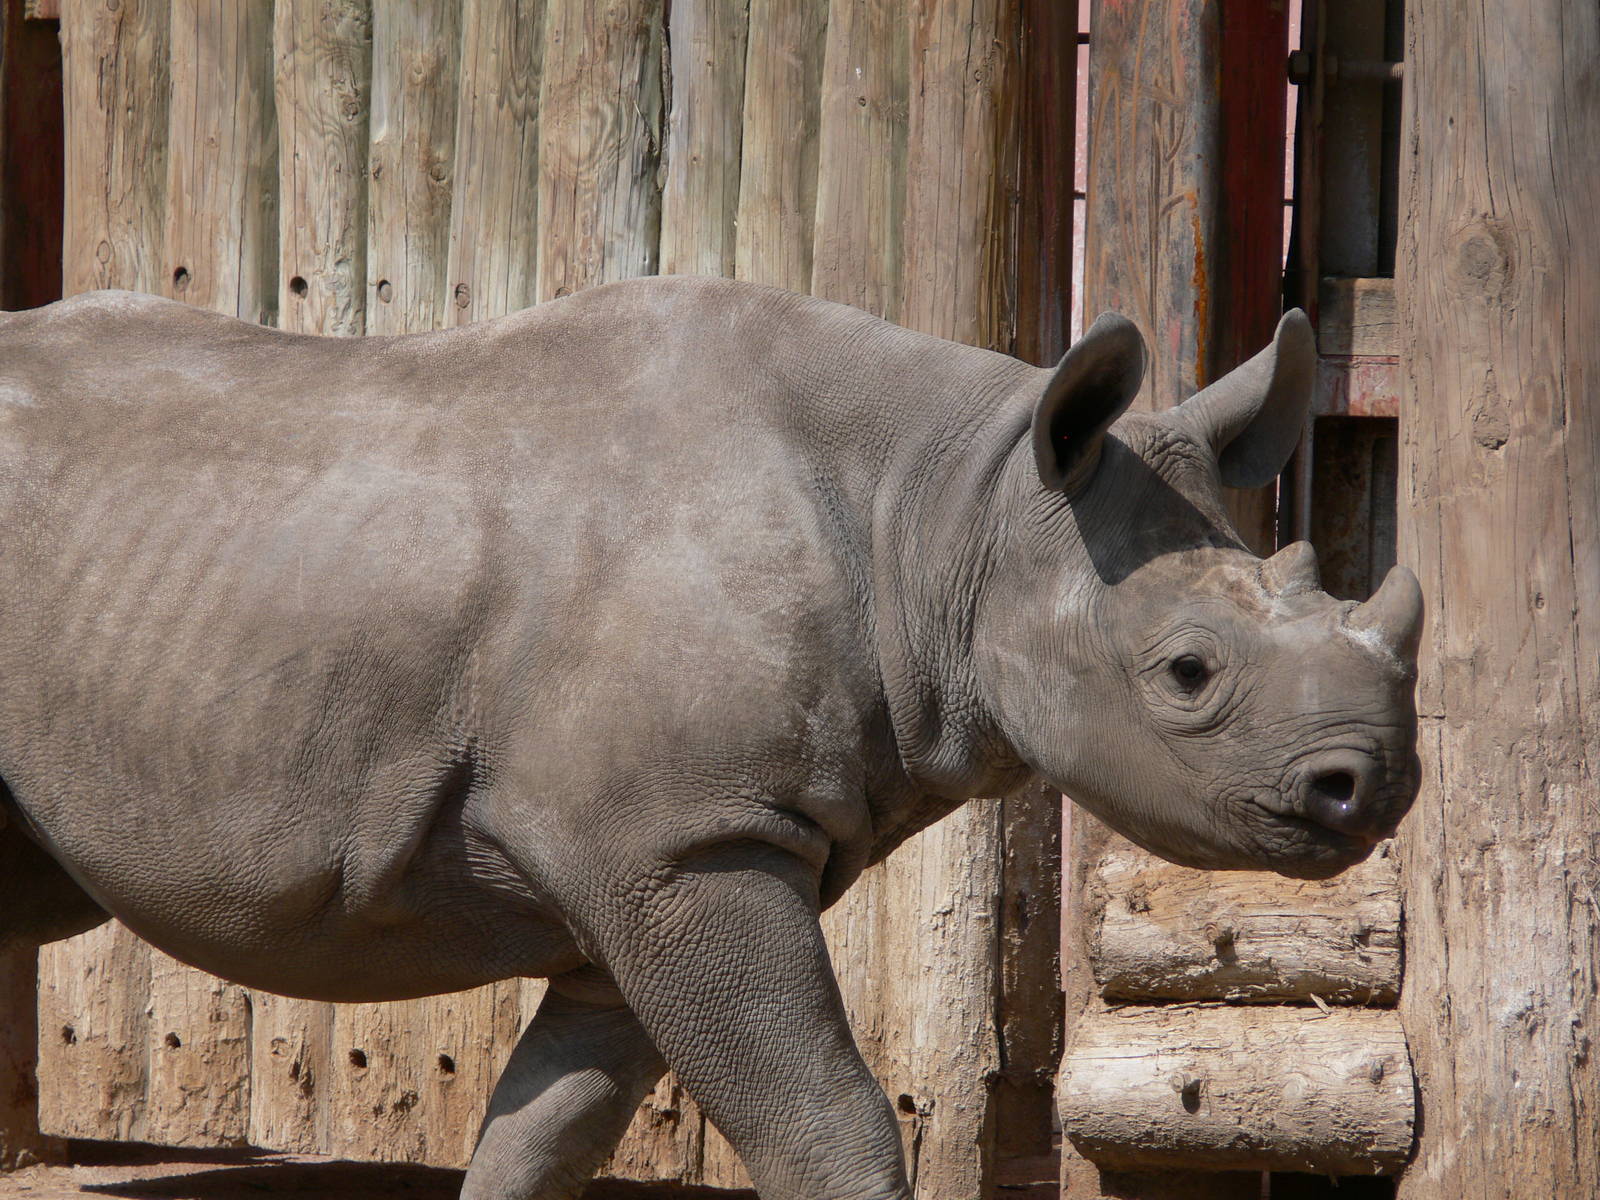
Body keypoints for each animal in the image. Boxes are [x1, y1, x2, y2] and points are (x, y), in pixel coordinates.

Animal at [0, 277, 1420, 1200]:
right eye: (1186, 674)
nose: (1372, 788)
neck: (949, 512)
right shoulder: (686, 845)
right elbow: (826, 1123)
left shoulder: (644, 865)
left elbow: (545, 1132)